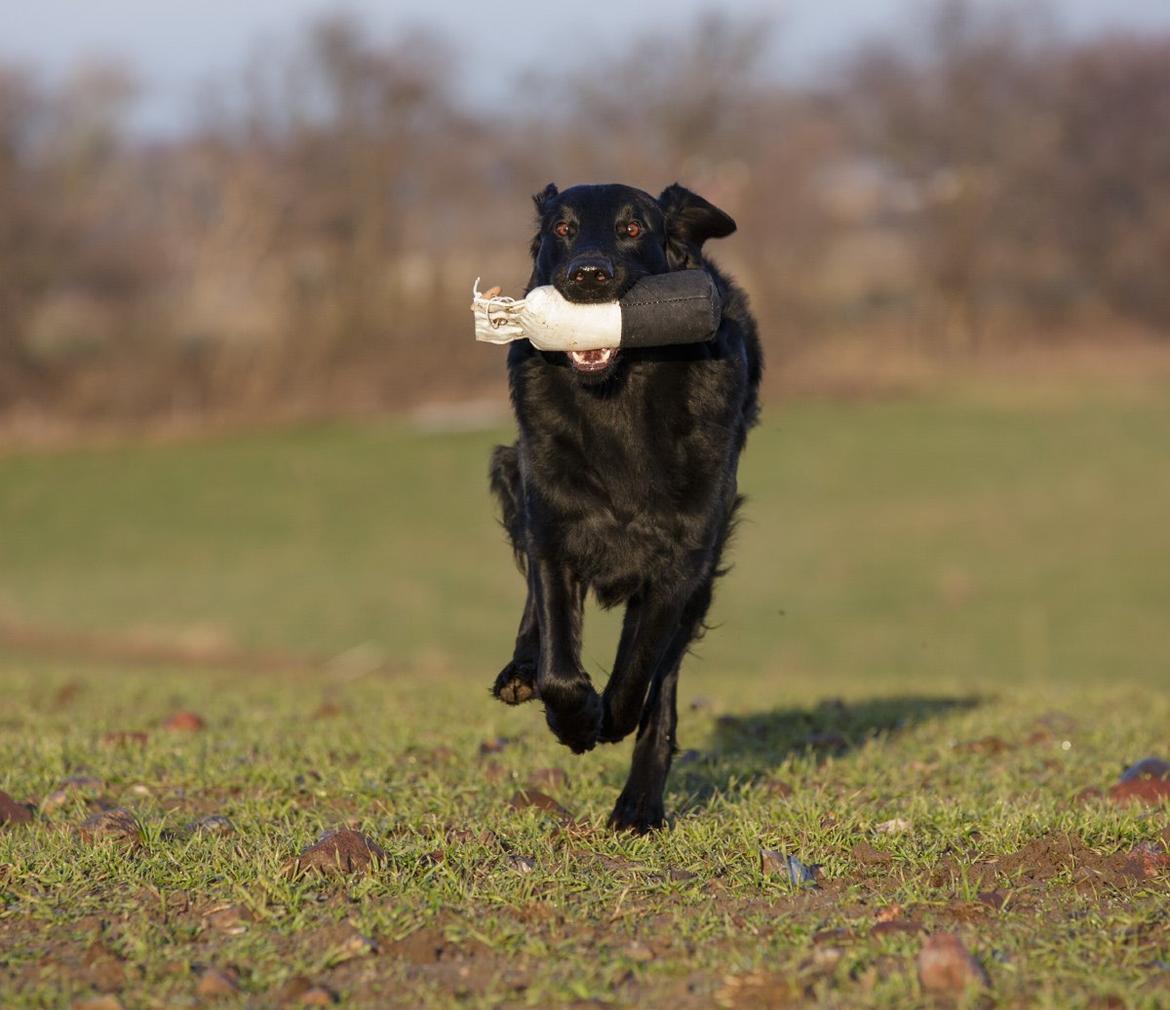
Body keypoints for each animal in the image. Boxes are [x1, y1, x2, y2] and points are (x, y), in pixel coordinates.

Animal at [489, 180, 762, 828]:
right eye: (562, 229)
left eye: (632, 228)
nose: (588, 275)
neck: (617, 403)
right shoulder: (554, 532)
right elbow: (560, 664)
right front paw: (572, 718)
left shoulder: (680, 564)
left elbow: (639, 673)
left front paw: (607, 720)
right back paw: (520, 673)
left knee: (662, 687)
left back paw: (639, 804)